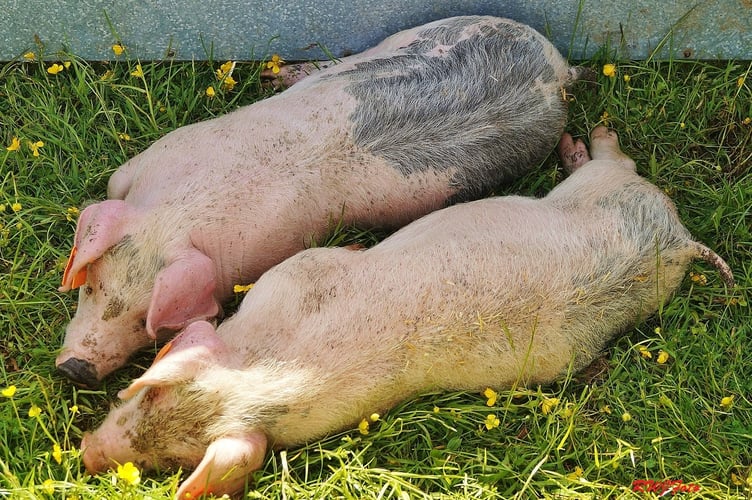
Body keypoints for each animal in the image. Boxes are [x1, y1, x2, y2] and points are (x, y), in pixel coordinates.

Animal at [57, 15, 587, 387]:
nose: (74, 370)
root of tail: (559, 70)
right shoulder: (153, 159)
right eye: (93, 288)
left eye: (147, 324)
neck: (182, 211)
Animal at [81, 126, 733, 499]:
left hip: (606, 188)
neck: (269, 367)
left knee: (613, 159)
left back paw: (590, 137)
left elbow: (325, 256)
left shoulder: (295, 274)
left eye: (173, 461)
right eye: (139, 400)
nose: (89, 455)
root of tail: (677, 239)